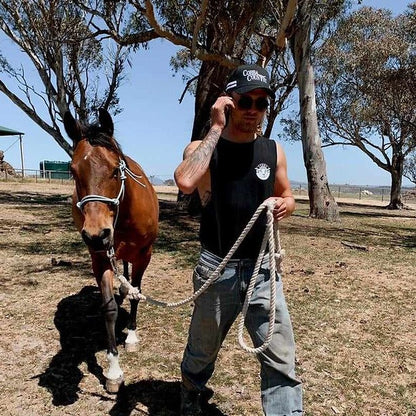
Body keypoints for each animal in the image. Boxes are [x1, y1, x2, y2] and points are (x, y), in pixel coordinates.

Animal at [63, 108, 159, 394]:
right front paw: (114, 370)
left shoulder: (144, 254)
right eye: (73, 171)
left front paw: (132, 336)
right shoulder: (100, 258)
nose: (97, 234)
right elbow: (109, 309)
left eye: (116, 170)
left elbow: (137, 294)